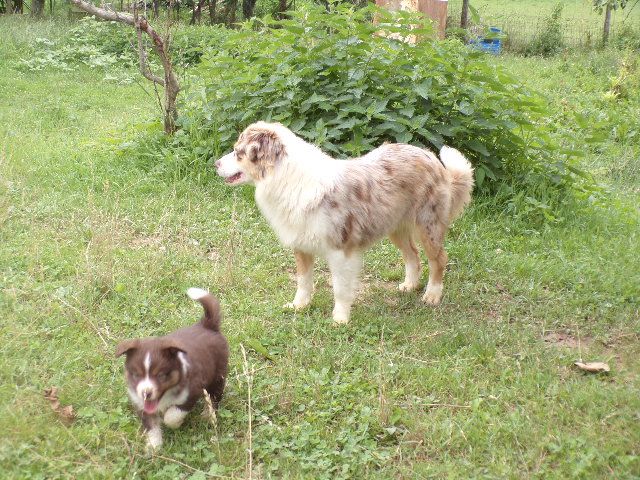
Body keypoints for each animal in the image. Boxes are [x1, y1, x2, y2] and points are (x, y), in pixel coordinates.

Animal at [116, 288, 229, 450]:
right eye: (136, 375)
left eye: (161, 375)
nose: (146, 393)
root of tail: (206, 325)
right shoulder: (142, 404)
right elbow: (151, 426)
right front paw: (153, 446)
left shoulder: (191, 392)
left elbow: (173, 413)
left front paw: (174, 423)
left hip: (218, 375)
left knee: (215, 396)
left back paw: (208, 414)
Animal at [215, 121, 474, 324]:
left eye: (238, 152)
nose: (216, 163)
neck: (287, 179)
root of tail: (430, 156)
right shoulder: (300, 245)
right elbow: (303, 281)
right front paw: (299, 306)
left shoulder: (340, 250)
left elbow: (340, 288)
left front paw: (340, 319)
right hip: (394, 226)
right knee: (412, 254)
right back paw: (409, 285)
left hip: (427, 225)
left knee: (439, 259)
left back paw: (432, 295)